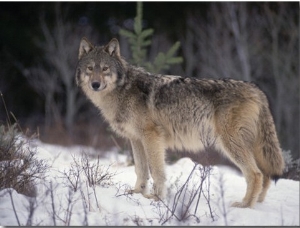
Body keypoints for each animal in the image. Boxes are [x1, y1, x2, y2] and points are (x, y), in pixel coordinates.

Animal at [76, 37, 284, 208]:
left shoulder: (152, 137)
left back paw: (245, 205)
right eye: (90, 68)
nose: (95, 84)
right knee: (265, 175)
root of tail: (256, 89)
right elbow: (141, 170)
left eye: (105, 68)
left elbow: (157, 171)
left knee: (256, 174)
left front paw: (157, 198)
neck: (123, 90)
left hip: (230, 144)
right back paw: (257, 203)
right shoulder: (135, 139)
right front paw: (137, 193)